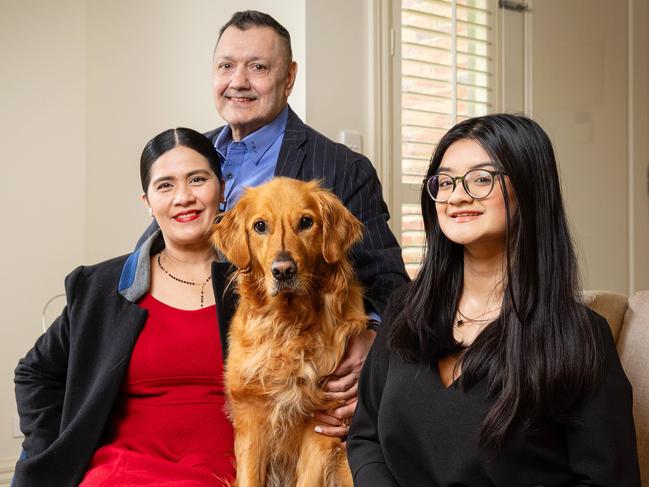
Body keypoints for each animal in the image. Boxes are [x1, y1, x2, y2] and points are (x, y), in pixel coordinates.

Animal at [211, 179, 368, 487]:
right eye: (260, 226)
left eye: (306, 222)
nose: (283, 271)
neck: (288, 325)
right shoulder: (251, 417)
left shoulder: (321, 424)